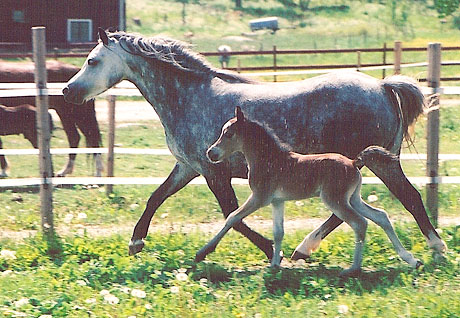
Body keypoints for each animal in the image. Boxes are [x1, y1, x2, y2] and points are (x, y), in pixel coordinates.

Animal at [62, 28, 446, 260]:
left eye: (92, 60)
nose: (67, 91)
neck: (189, 97)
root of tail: (382, 86)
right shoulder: (188, 167)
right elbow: (156, 197)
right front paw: (136, 242)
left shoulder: (213, 172)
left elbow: (233, 216)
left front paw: (268, 251)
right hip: (357, 164)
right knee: (347, 211)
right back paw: (304, 249)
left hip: (377, 161)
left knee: (406, 197)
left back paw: (436, 248)